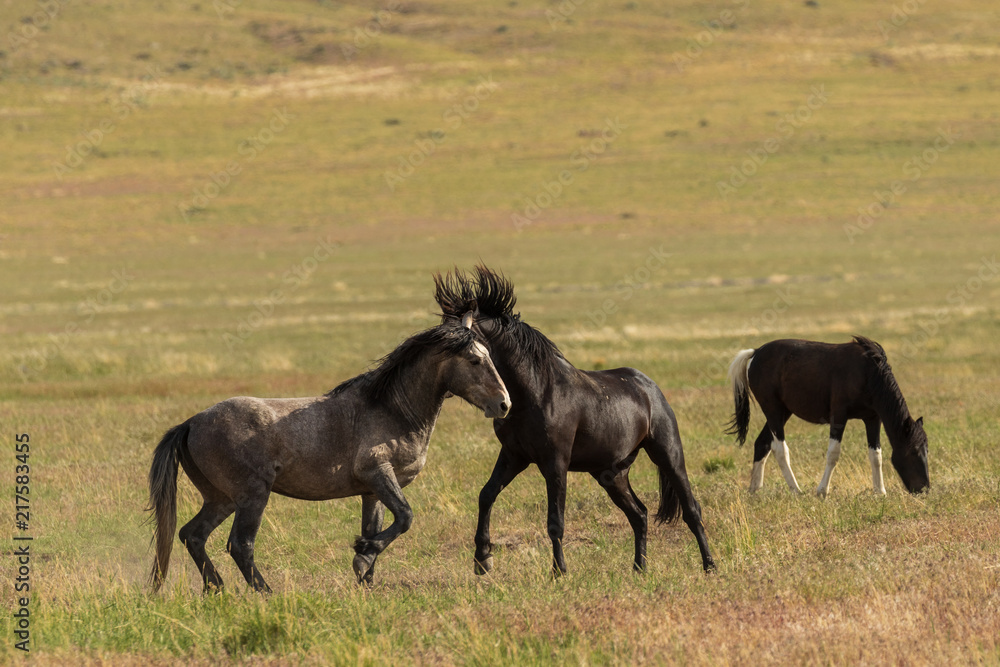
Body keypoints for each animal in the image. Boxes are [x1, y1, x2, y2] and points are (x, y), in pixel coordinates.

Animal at [146, 315, 510, 593]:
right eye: (475, 360)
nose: (504, 404)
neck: (393, 410)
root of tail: (191, 423)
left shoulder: (371, 492)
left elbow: (377, 528)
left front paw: (366, 579)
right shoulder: (378, 473)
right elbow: (405, 518)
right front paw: (362, 557)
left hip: (220, 499)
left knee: (192, 535)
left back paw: (216, 589)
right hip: (251, 496)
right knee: (240, 545)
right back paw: (266, 594)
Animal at [434, 266, 715, 576]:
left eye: (461, 341)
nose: (440, 382)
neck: (535, 393)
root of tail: (649, 387)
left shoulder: (555, 463)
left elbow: (555, 521)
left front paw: (559, 572)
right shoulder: (513, 456)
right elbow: (486, 495)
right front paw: (482, 559)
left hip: (668, 455)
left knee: (691, 510)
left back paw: (709, 566)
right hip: (612, 474)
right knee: (639, 514)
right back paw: (639, 569)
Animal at [726, 336, 929, 496]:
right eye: (914, 452)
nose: (925, 489)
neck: (867, 373)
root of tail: (756, 353)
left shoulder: (872, 419)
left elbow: (875, 455)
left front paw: (880, 492)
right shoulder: (838, 417)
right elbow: (833, 453)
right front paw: (822, 490)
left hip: (782, 412)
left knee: (762, 443)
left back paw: (755, 489)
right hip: (773, 411)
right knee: (779, 449)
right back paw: (796, 490)